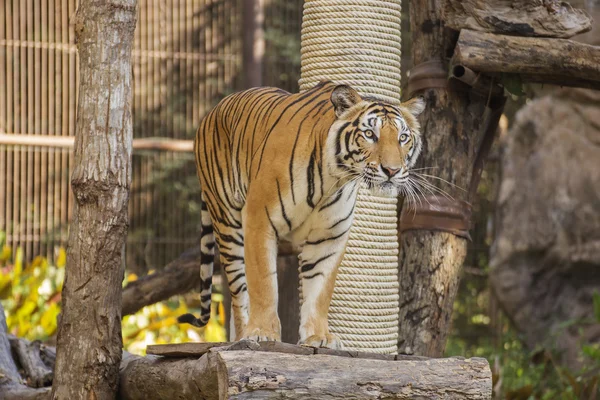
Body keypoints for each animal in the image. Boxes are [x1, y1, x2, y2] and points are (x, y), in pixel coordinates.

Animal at [176, 79, 424, 348]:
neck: (334, 179)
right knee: (238, 292)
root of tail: (211, 111)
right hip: (228, 224)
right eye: (370, 134)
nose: (392, 170)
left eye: (402, 138)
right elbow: (263, 283)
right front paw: (262, 332)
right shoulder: (259, 219)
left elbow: (319, 291)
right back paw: (243, 336)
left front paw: (319, 336)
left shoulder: (329, 237)